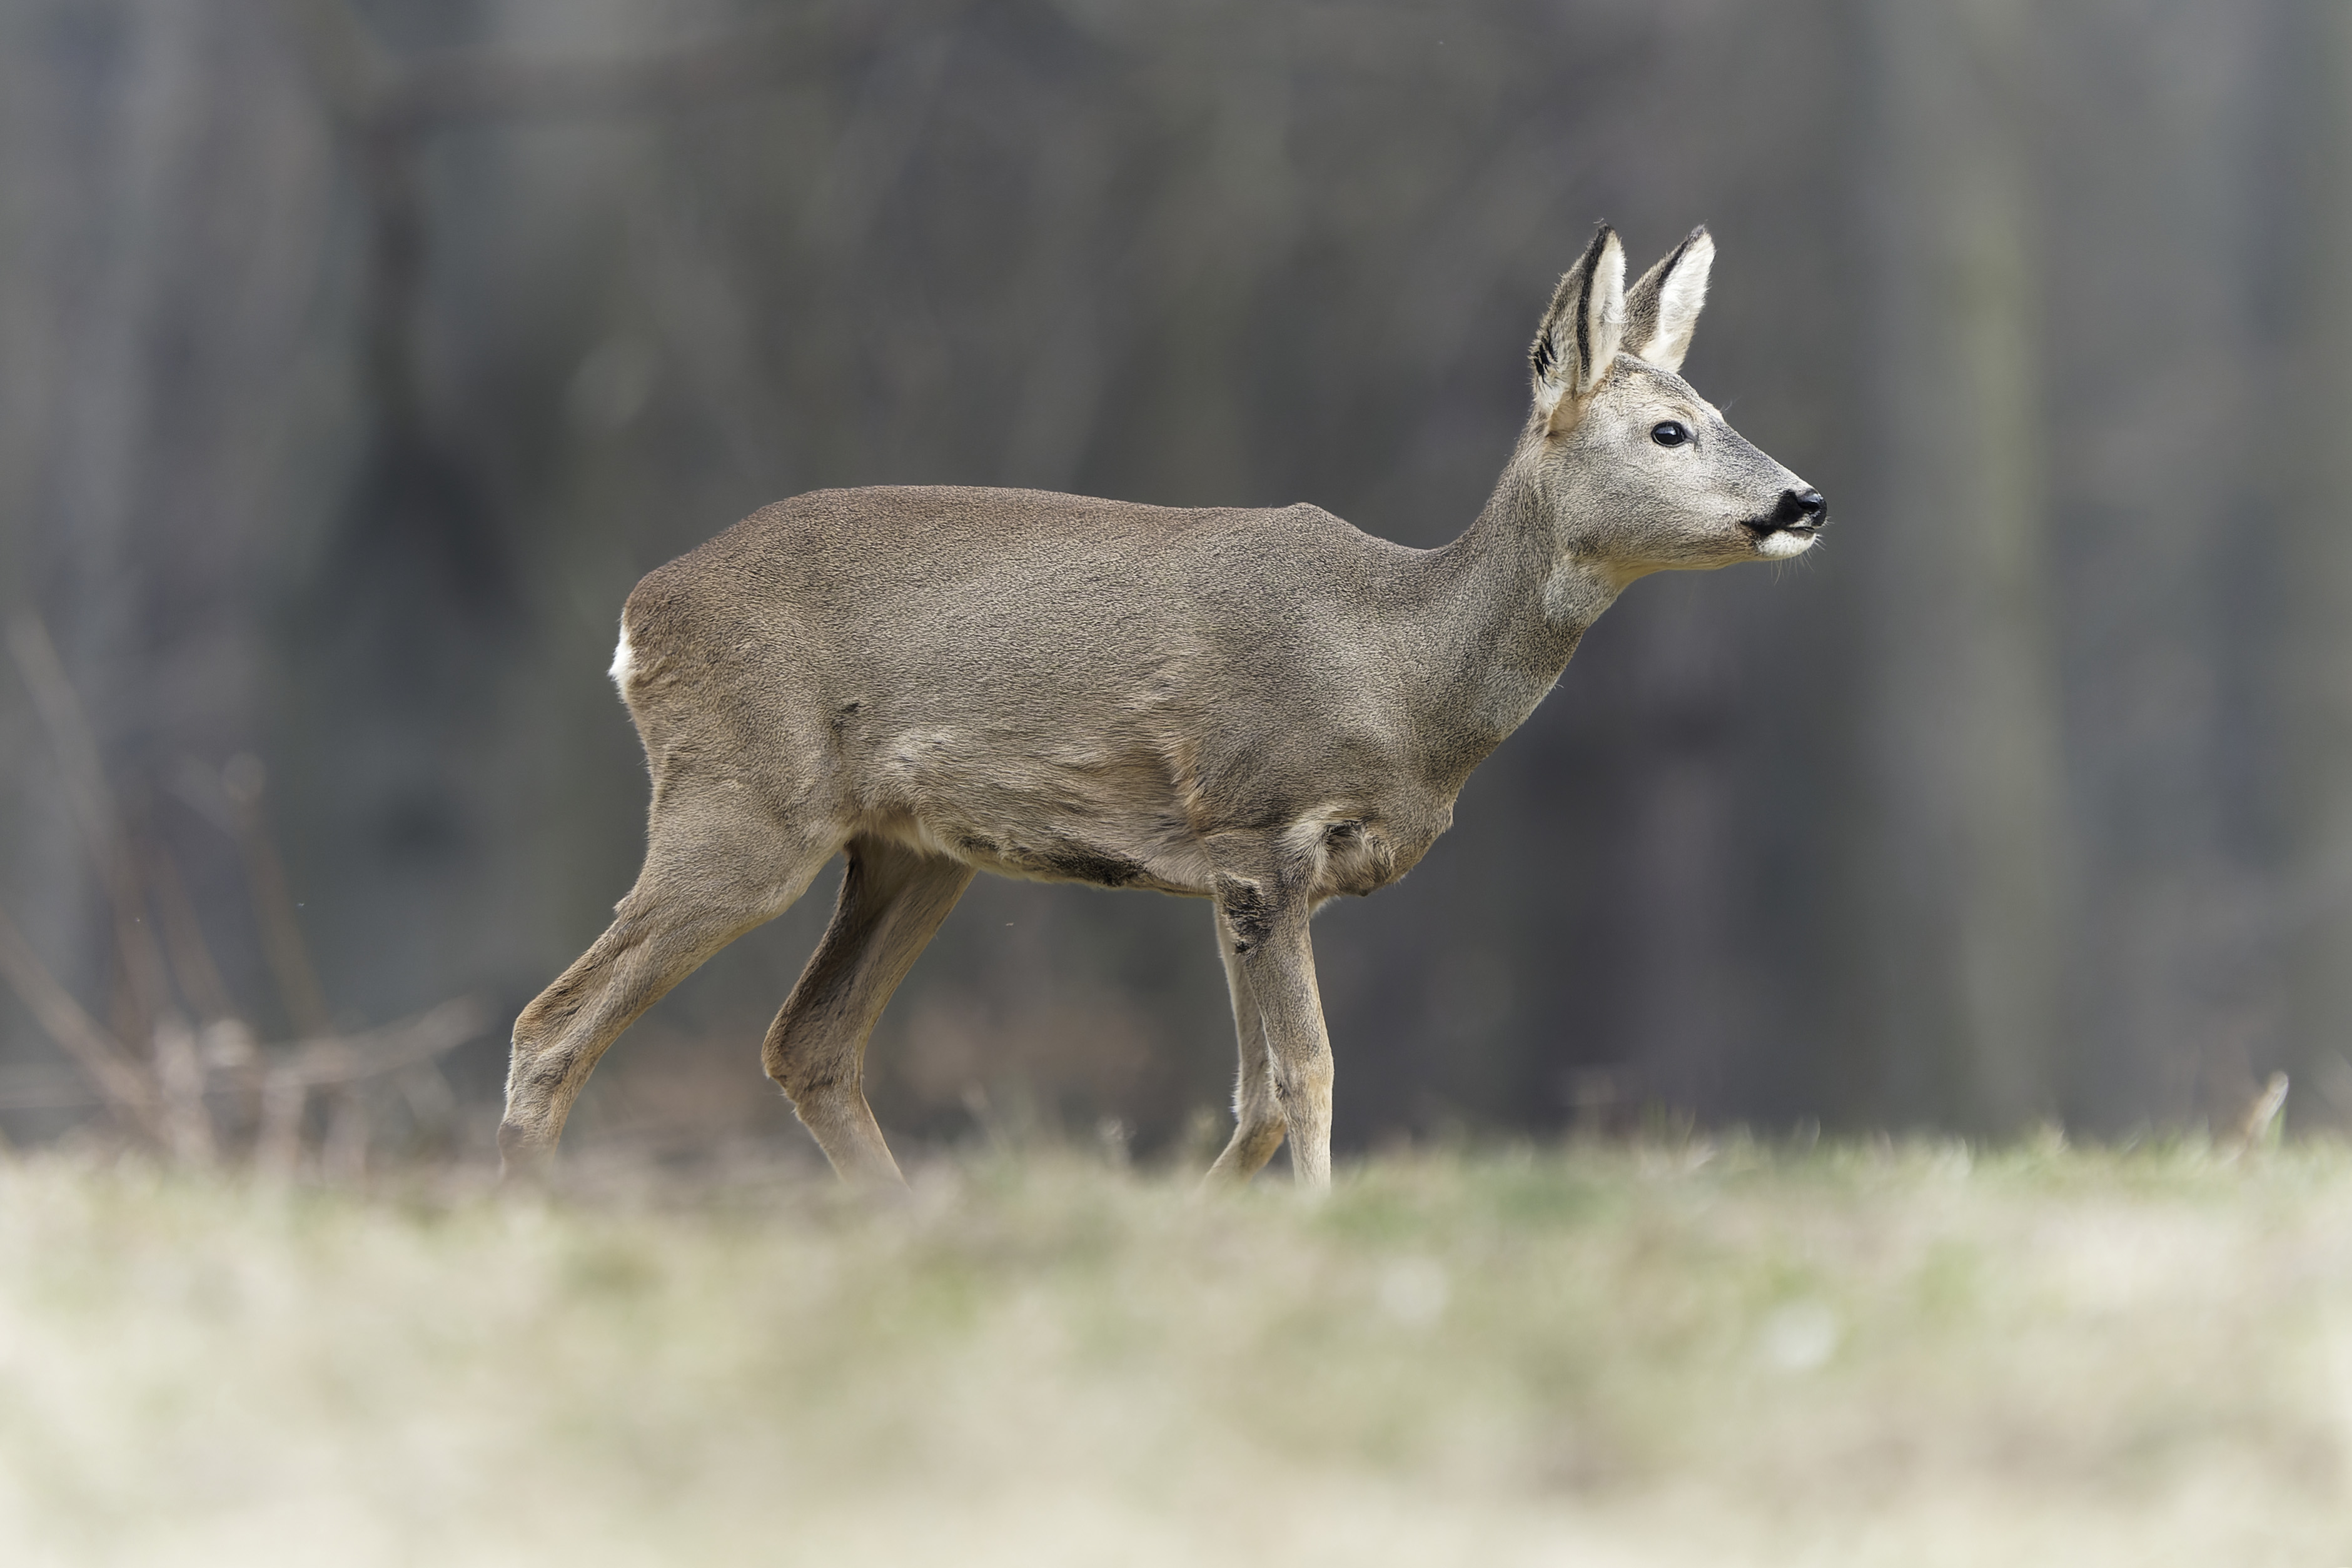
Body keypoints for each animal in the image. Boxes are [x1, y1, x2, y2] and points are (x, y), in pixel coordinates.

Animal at [499, 222, 1825, 1190]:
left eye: (1718, 411)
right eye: (1669, 428)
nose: (1804, 500)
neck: (1399, 668)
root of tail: (638, 616)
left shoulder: (1244, 869)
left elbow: (1255, 1095)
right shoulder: (1258, 821)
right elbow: (1308, 1076)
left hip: (913, 850)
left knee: (807, 1041)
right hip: (741, 802)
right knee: (552, 1022)